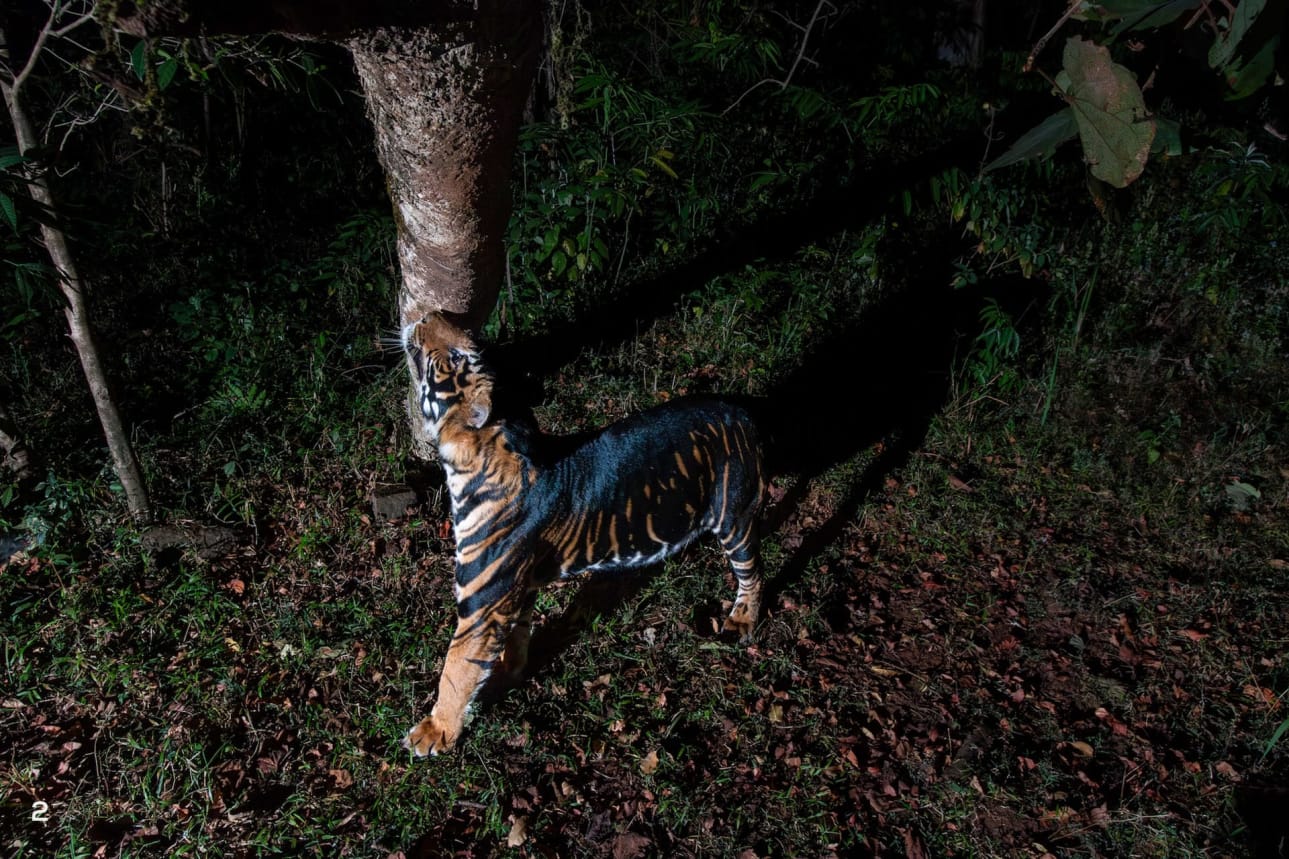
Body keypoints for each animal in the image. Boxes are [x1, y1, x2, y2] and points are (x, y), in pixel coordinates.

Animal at [400, 313, 767, 756]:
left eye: (457, 356)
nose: (426, 316)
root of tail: (741, 409)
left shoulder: (482, 600)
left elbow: (455, 671)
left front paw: (433, 732)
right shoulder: (518, 588)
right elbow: (514, 638)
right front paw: (508, 675)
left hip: (734, 516)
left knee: (752, 571)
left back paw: (742, 619)